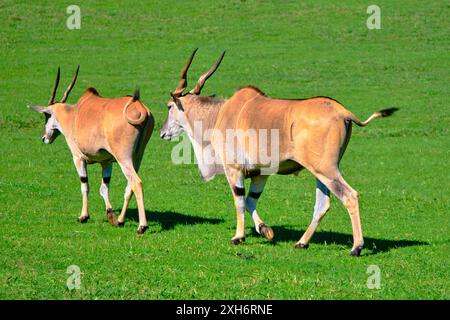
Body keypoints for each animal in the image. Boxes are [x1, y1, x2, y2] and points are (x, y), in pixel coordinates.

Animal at [30, 67, 155, 232]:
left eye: (46, 115)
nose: (44, 138)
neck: (72, 115)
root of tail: (139, 107)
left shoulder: (78, 158)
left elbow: (85, 185)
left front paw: (83, 216)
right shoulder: (106, 162)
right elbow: (104, 188)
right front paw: (111, 215)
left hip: (123, 158)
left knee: (136, 183)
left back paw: (142, 226)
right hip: (137, 158)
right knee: (129, 187)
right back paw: (121, 220)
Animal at [160, 49, 400, 255]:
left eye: (169, 106)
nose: (162, 133)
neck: (219, 114)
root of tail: (343, 112)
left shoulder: (234, 169)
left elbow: (239, 201)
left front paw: (238, 237)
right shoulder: (260, 173)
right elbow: (251, 201)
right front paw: (266, 230)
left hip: (326, 170)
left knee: (349, 196)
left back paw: (356, 247)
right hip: (321, 172)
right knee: (323, 204)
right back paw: (302, 242)